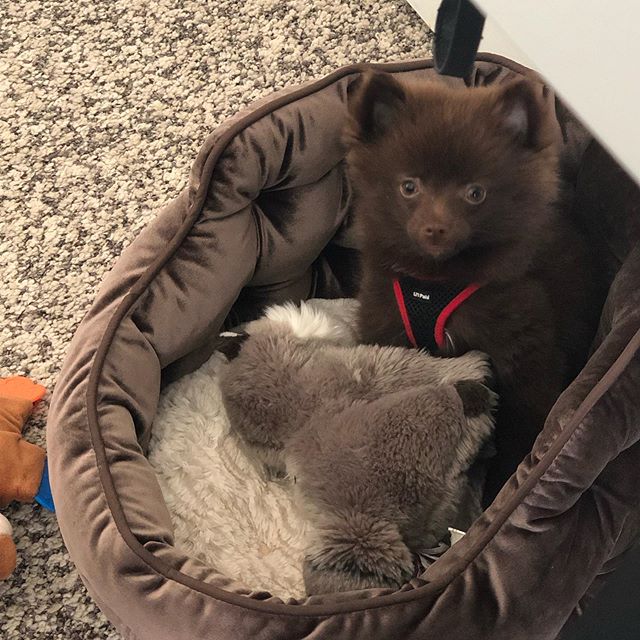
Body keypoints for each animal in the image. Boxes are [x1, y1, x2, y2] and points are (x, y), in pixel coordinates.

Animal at [344, 71, 600, 500]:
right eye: (409, 186)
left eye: (475, 193)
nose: (435, 228)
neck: (435, 280)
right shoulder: (385, 318)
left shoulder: (524, 342)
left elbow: (526, 417)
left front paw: (502, 483)